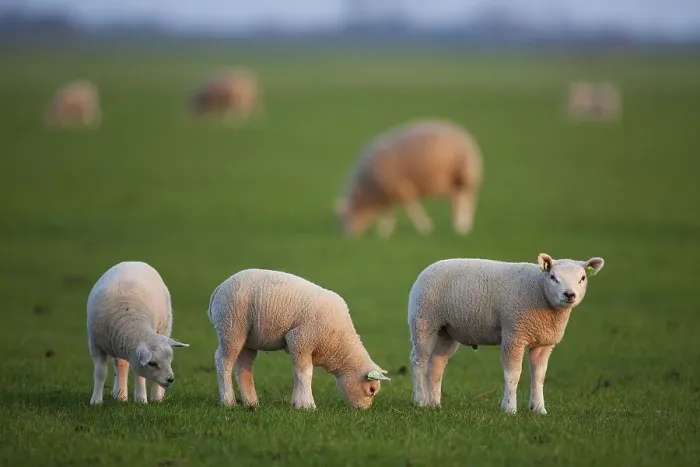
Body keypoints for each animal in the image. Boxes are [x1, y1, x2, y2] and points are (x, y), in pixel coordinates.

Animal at [87, 261, 189, 405]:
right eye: (152, 363)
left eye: (170, 360)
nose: (170, 379)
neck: (130, 321)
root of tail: (133, 262)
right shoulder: (95, 345)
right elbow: (100, 373)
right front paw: (96, 401)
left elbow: (140, 375)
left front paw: (141, 399)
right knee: (121, 365)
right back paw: (121, 396)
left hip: (165, 327)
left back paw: (156, 397)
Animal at [207, 268, 391, 409]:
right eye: (371, 389)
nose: (364, 409)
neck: (339, 344)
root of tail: (219, 288)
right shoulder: (300, 339)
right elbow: (305, 373)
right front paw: (308, 405)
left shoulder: (300, 345)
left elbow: (297, 374)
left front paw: (297, 404)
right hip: (231, 325)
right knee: (223, 361)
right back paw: (228, 401)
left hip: (249, 338)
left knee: (243, 367)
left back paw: (251, 403)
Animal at [334, 119, 484, 238]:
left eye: (346, 216)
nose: (347, 236)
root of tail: (466, 136)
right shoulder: (387, 193)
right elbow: (387, 212)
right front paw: (385, 232)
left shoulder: (401, 187)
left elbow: (412, 209)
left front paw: (425, 227)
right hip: (456, 181)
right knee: (458, 201)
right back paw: (460, 225)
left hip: (464, 174)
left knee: (466, 201)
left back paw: (462, 227)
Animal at [408, 253, 605, 414]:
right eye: (553, 277)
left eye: (582, 278)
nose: (569, 294)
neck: (540, 290)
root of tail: (428, 269)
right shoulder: (514, 334)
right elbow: (513, 374)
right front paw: (509, 408)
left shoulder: (543, 342)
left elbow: (539, 376)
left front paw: (539, 409)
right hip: (424, 320)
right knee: (419, 361)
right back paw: (421, 401)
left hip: (447, 332)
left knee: (437, 363)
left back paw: (435, 404)